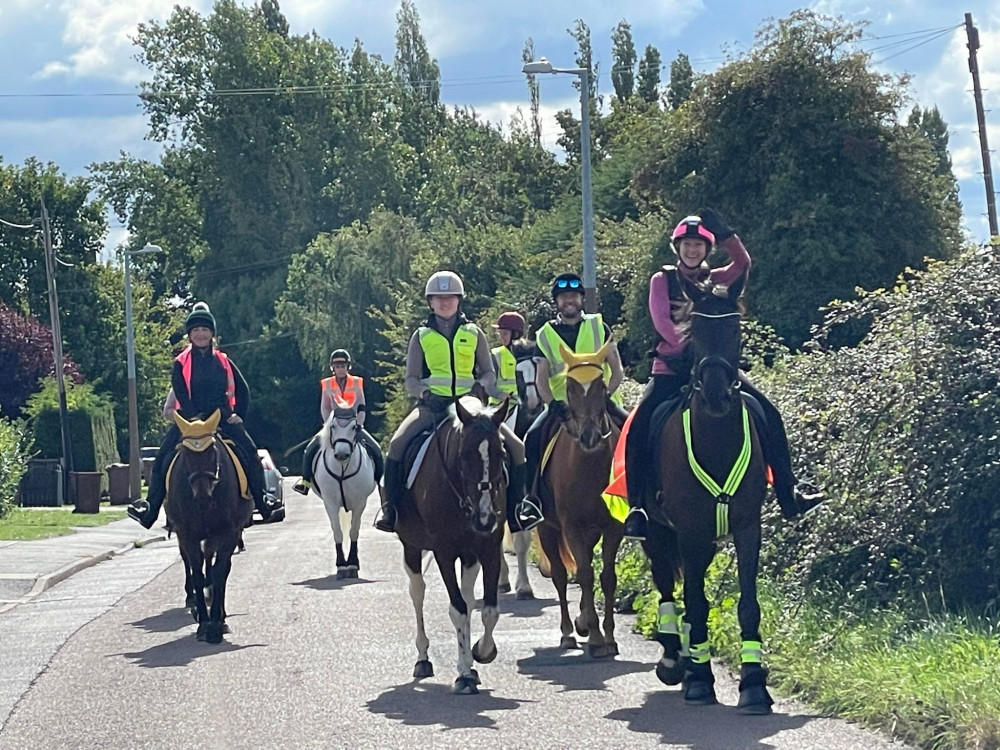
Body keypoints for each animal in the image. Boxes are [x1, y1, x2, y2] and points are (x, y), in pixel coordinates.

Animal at [163, 412, 250, 648]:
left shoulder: (227, 533)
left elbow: (219, 573)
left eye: (213, 452)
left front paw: (216, 624)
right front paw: (203, 622)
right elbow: (196, 574)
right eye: (184, 454)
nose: (202, 494)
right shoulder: (187, 535)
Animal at [312, 408, 376, 580]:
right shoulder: (330, 503)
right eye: (332, 426)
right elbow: (338, 532)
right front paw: (341, 566)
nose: (341, 454)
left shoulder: (360, 503)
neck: (342, 468)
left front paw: (352, 565)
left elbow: (354, 531)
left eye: (354, 427)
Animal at [536, 344, 620, 660]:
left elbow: (607, 577)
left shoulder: (613, 527)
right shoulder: (571, 527)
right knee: (560, 576)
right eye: (570, 387)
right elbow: (584, 575)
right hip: (547, 529)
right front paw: (595, 637)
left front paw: (608, 636)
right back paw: (569, 633)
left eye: (602, 386)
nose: (589, 437)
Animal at [640, 270, 772, 716]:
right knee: (667, 586)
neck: (716, 440)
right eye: (695, 330)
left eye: (734, 329)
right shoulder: (689, 530)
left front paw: (754, 684)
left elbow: (747, 604)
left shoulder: (747, 527)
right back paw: (673, 660)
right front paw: (699, 680)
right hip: (656, 532)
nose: (715, 394)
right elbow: (695, 601)